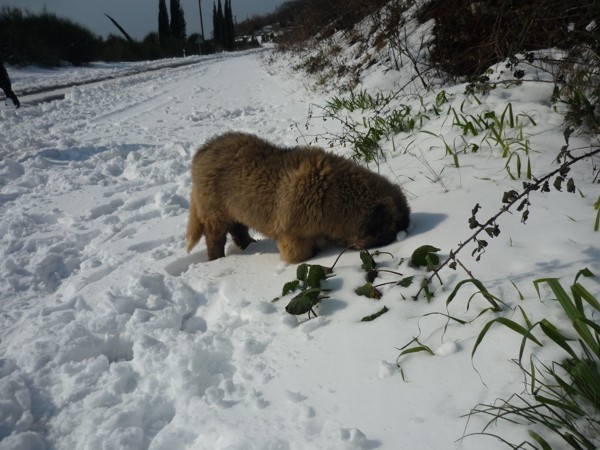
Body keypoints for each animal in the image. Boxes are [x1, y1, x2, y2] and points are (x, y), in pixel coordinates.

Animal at [189, 132, 408, 262]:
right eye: (392, 226)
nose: (400, 234)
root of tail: (202, 151)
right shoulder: (294, 235)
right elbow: (299, 253)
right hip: (215, 214)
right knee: (215, 238)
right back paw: (217, 258)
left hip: (237, 208)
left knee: (238, 229)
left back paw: (250, 245)